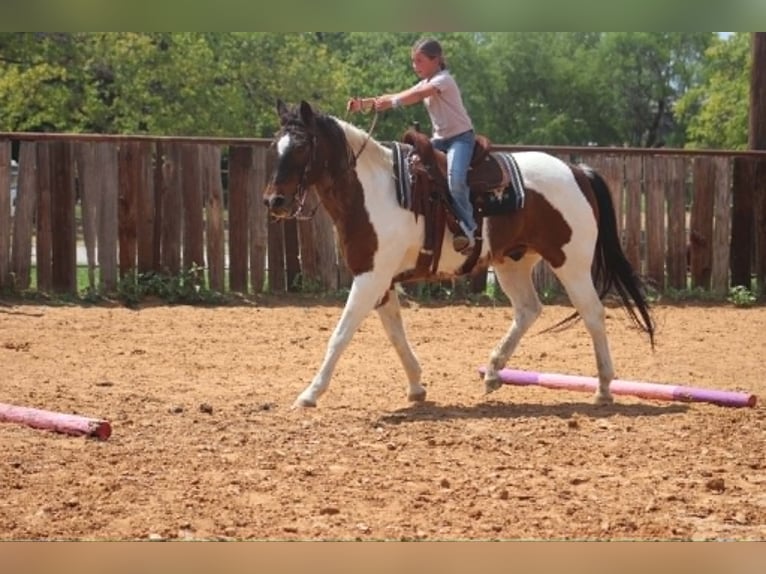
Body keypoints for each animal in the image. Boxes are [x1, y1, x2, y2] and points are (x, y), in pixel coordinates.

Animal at [263, 99, 655, 409]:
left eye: (301, 146)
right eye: (273, 145)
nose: (274, 201)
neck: (373, 191)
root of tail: (577, 171)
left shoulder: (370, 277)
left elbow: (340, 334)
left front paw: (310, 393)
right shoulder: (381, 280)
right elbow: (396, 334)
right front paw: (417, 387)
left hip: (571, 262)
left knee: (593, 313)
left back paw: (603, 388)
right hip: (513, 262)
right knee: (529, 310)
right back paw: (494, 371)